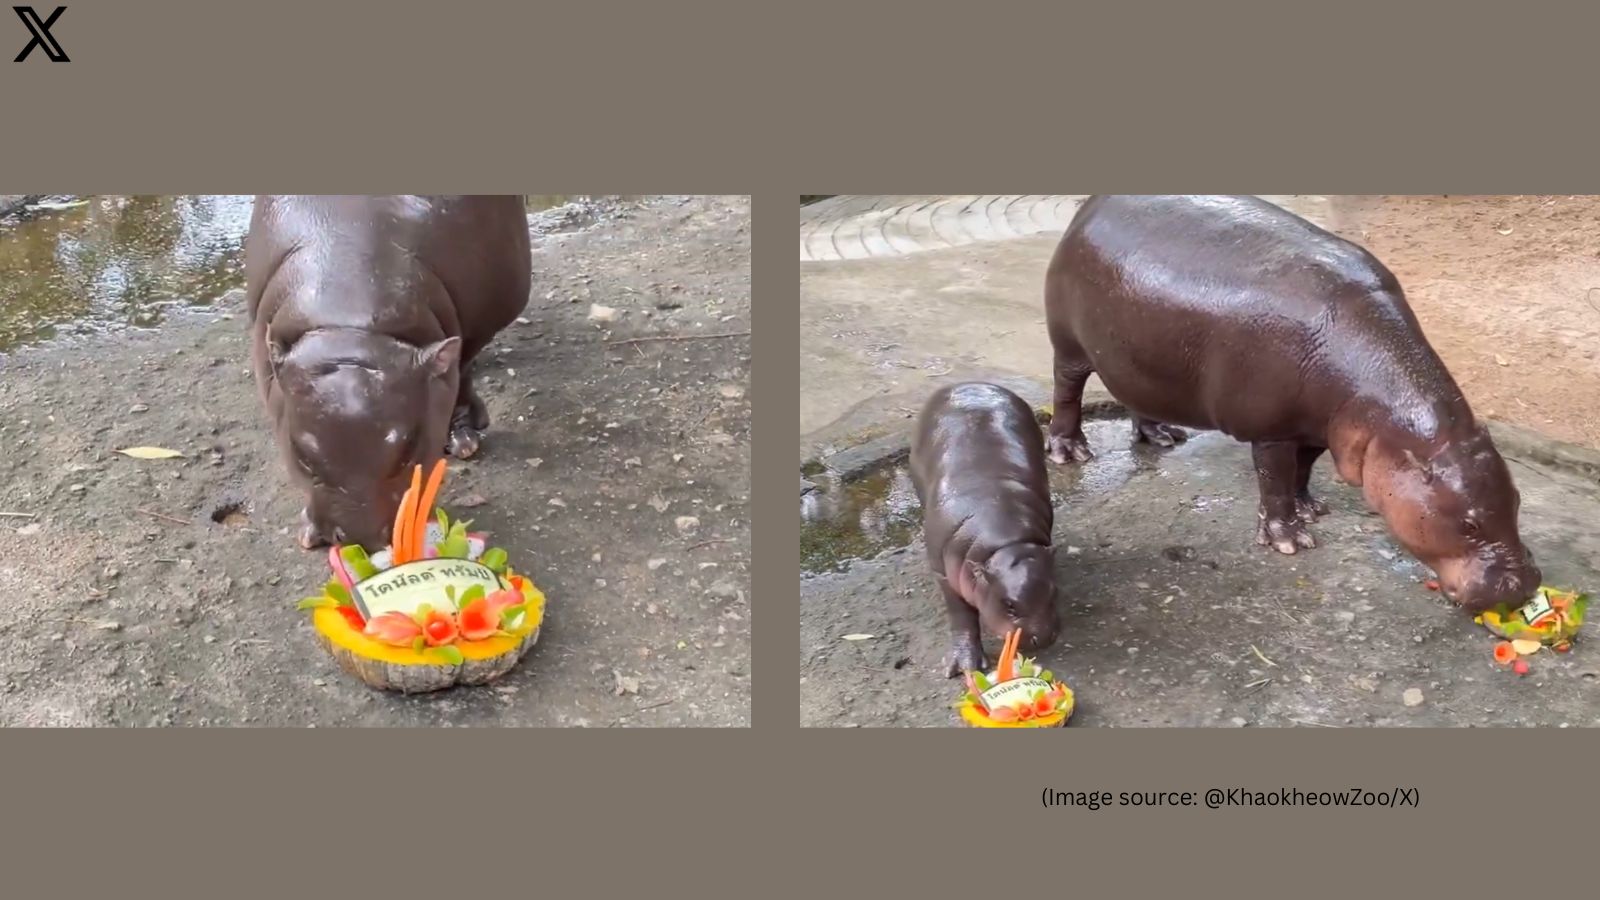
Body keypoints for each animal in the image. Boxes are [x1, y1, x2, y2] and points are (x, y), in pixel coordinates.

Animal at [915, 381, 1062, 675]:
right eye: (1009, 606)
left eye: (1053, 592)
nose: (1043, 638)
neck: (1005, 545)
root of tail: (967, 382)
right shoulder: (944, 573)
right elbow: (962, 617)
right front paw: (965, 666)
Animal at [1043, 190, 1542, 608]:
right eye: (1470, 523)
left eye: (1518, 501)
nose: (1522, 587)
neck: (1388, 419)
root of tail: (1092, 205)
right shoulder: (1272, 431)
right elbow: (1276, 480)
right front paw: (1290, 540)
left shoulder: (1319, 427)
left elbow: (1302, 471)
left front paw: (1311, 509)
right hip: (1069, 346)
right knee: (1067, 391)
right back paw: (1071, 452)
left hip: (1136, 357)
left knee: (1134, 396)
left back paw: (1162, 436)